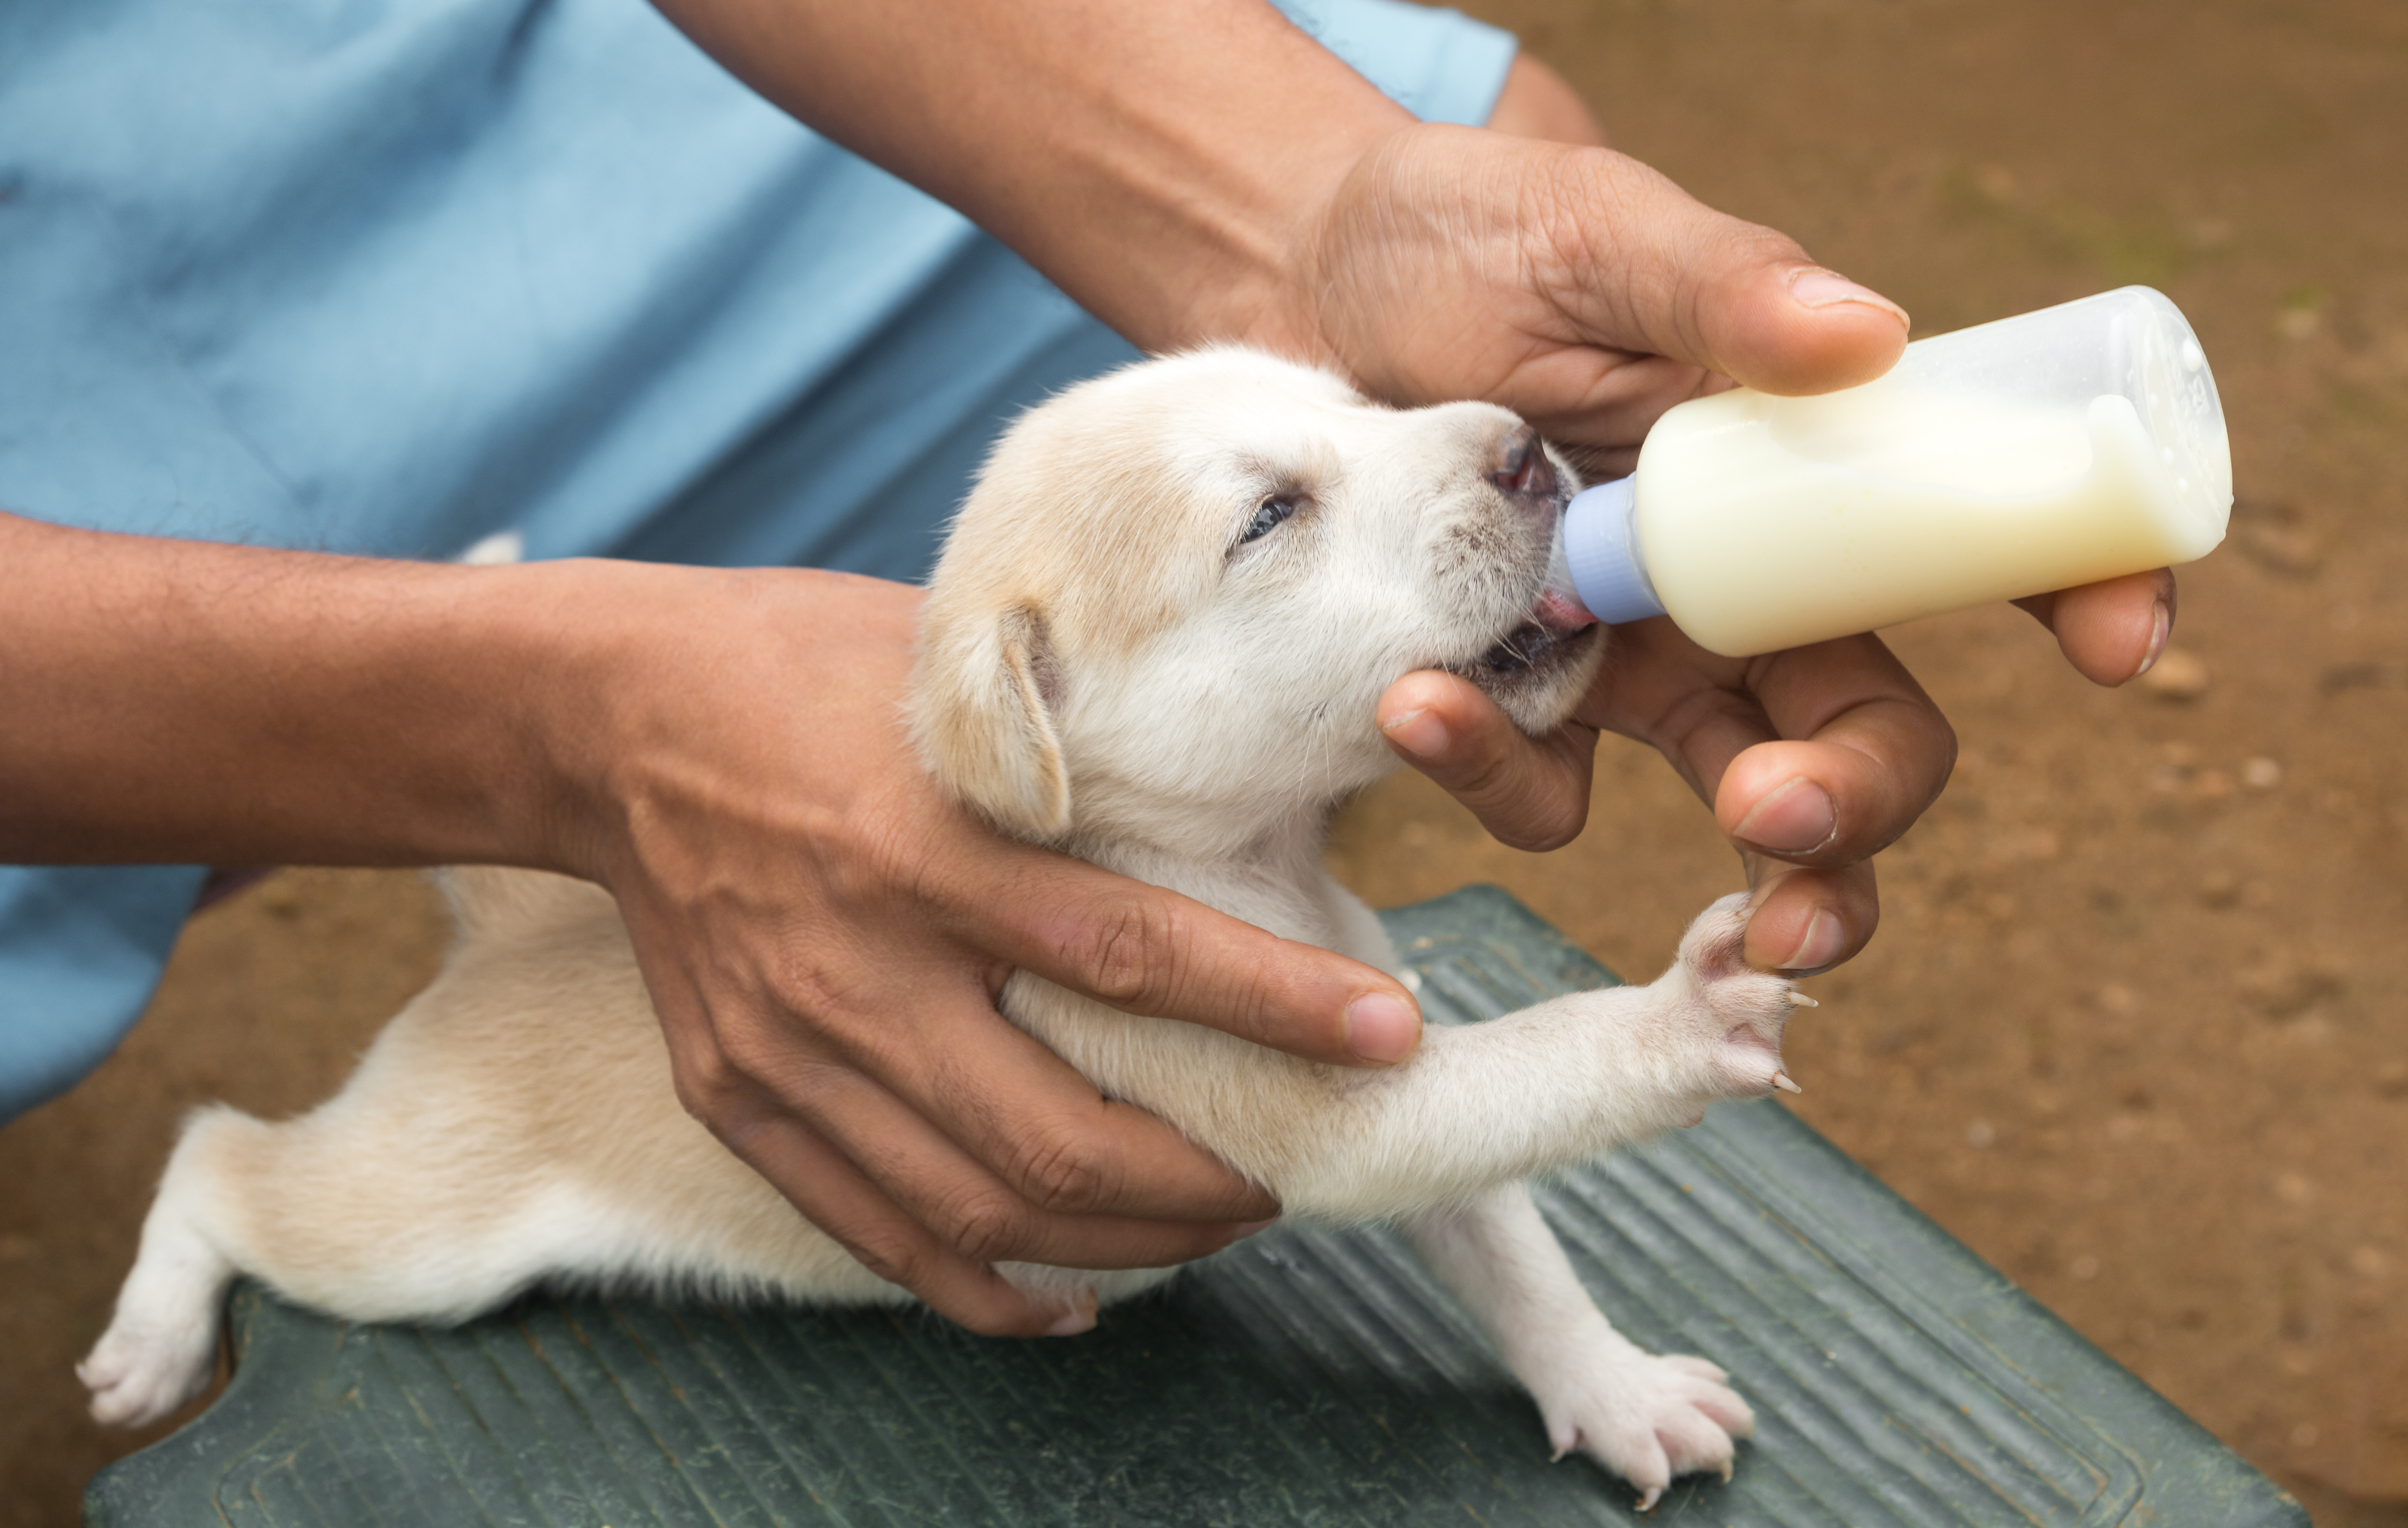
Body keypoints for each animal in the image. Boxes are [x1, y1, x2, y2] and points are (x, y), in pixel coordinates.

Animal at [80, 346, 1811, 1511]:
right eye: (1268, 516)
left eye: (1362, 404)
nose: (1527, 450)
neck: (1243, 859)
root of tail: (498, 944)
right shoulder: (1336, 1110)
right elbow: (1540, 1068)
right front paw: (1688, 1011)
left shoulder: (1393, 1056)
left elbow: (1514, 1249)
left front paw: (1615, 1389)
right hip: (414, 1243)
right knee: (222, 1158)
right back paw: (151, 1339)